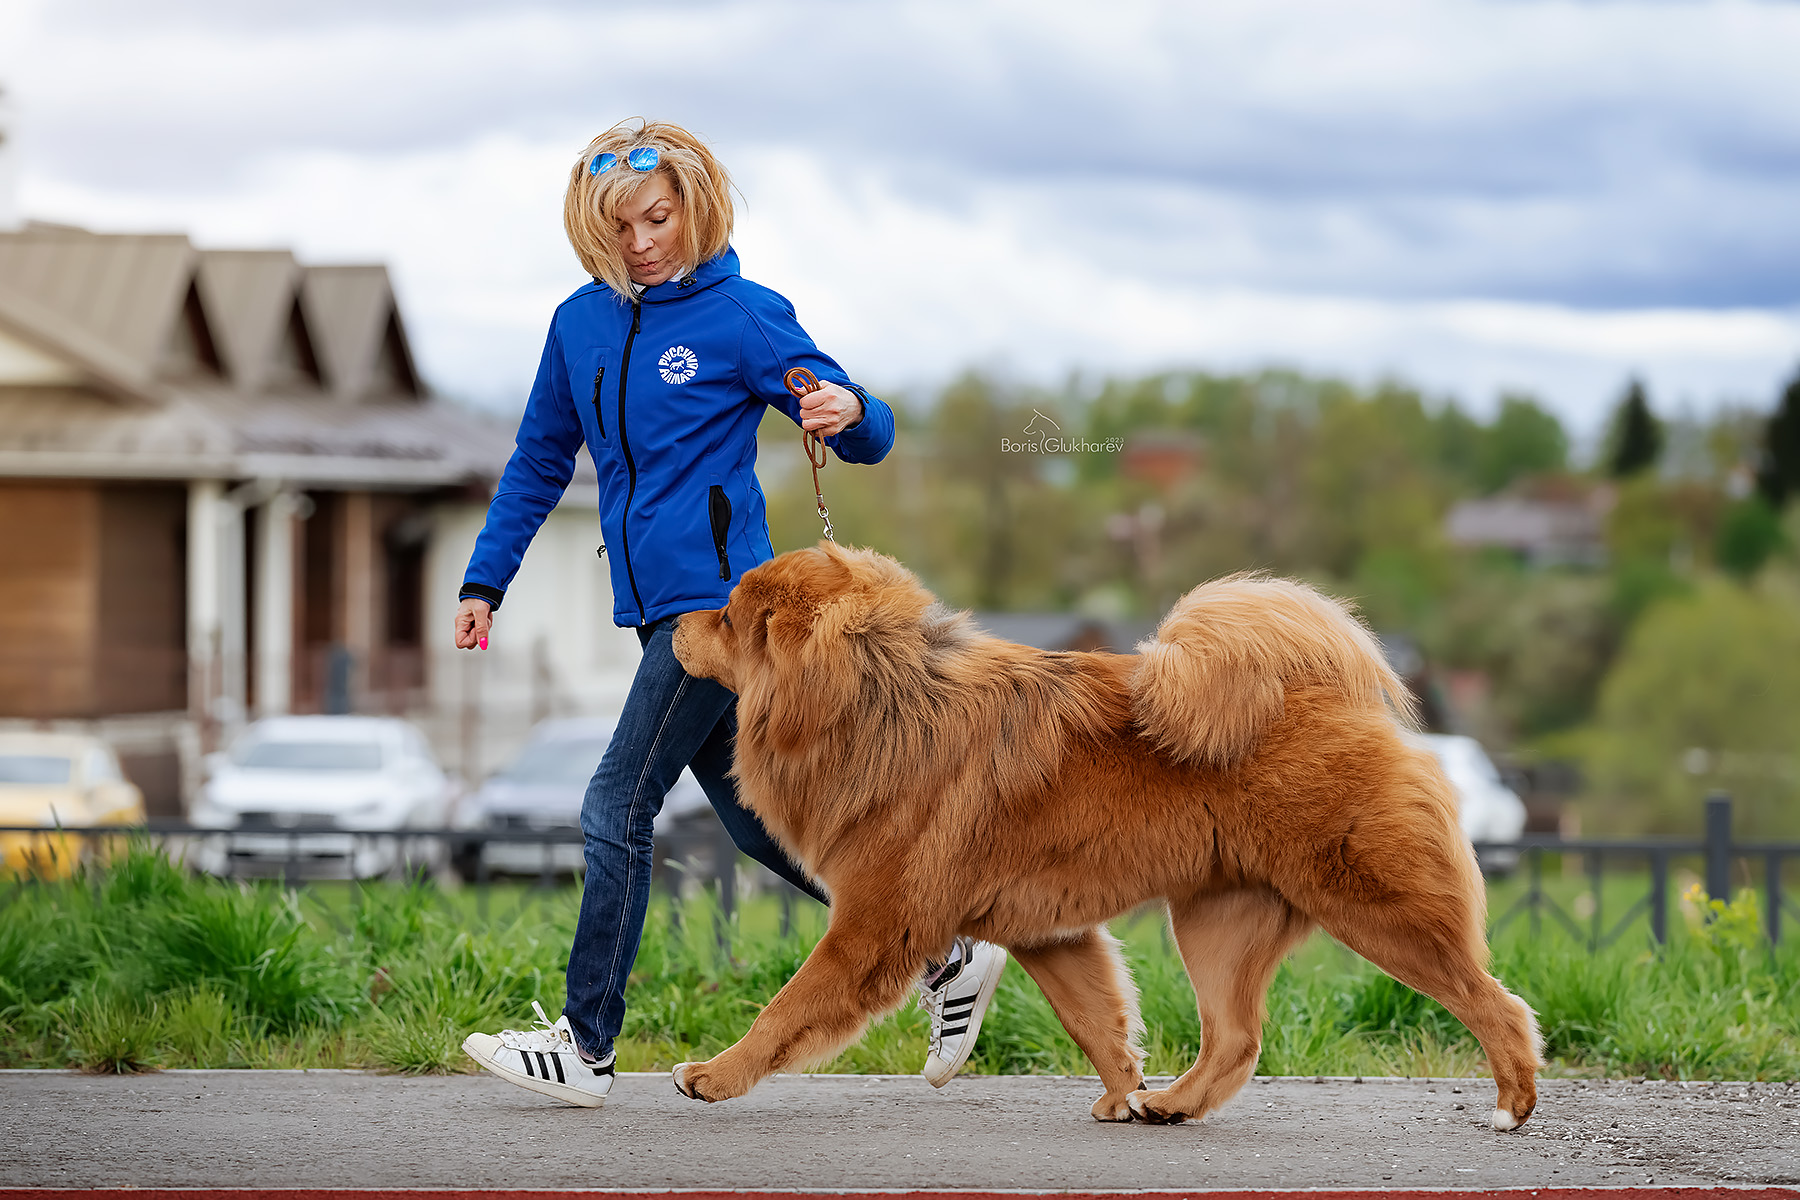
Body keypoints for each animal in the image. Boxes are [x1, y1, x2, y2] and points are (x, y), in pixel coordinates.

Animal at [669, 541, 1541, 1129]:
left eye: (728, 615)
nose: (673, 620)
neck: (877, 702)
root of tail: (1326, 695)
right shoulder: (1050, 933)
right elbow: (1098, 1022)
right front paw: (1125, 1094)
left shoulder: (869, 927)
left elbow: (784, 1011)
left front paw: (714, 1075)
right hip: (1216, 923)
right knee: (1235, 1038)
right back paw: (1173, 1104)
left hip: (1376, 911)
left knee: (1491, 1001)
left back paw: (1512, 1103)